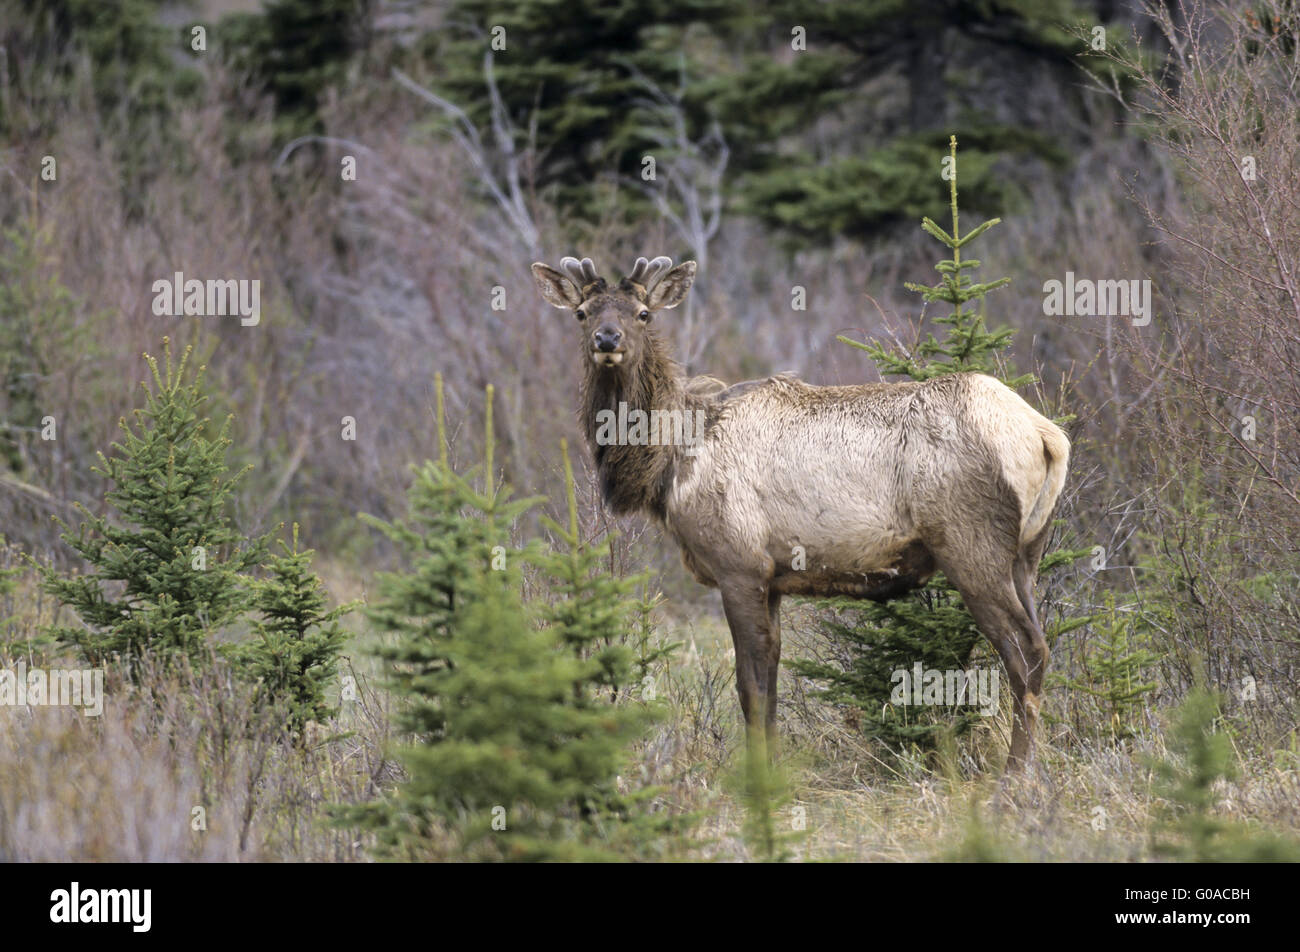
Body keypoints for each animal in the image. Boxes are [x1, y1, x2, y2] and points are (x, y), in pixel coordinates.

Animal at [527, 254, 1066, 775]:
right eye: (582, 313)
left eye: (643, 313)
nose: (607, 339)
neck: (670, 463)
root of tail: (1047, 435)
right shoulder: (773, 577)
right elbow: (770, 684)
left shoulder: (738, 566)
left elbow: (749, 687)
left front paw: (757, 779)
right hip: (1028, 554)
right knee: (1041, 646)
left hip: (971, 545)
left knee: (1024, 652)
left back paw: (1013, 779)